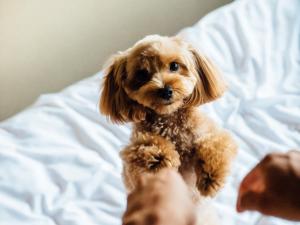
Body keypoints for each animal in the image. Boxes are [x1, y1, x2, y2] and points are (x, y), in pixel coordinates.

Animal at [100, 34, 237, 200]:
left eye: (174, 66)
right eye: (142, 74)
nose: (165, 91)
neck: (170, 121)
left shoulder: (215, 134)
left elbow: (216, 144)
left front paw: (210, 178)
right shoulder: (131, 165)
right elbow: (142, 146)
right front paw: (161, 157)